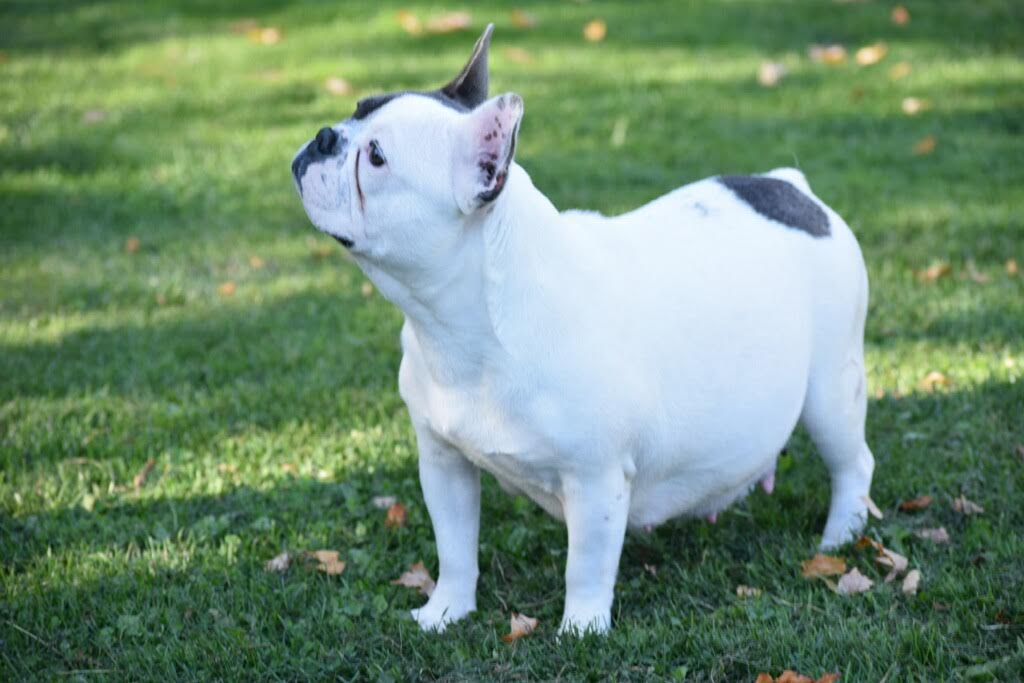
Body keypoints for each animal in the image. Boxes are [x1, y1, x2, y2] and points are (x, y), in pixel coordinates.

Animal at [292, 25, 876, 634]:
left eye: (376, 158)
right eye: (356, 110)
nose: (325, 136)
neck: (465, 325)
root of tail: (796, 189)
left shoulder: (595, 480)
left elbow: (586, 566)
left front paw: (581, 630)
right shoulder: (443, 460)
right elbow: (454, 546)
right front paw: (446, 610)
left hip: (832, 389)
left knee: (852, 462)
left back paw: (839, 539)